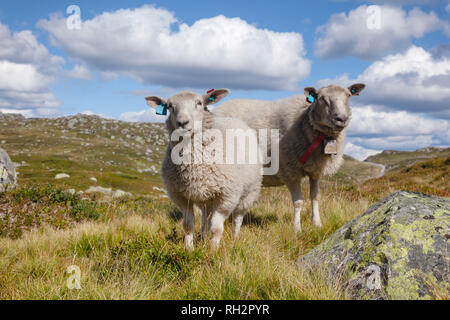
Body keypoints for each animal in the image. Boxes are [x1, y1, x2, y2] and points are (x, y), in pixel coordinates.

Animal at [146, 89, 262, 249]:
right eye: (169, 106)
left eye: (199, 103)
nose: (183, 122)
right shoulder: (181, 196)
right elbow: (188, 225)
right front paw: (189, 249)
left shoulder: (227, 196)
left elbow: (217, 228)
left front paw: (213, 250)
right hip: (205, 197)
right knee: (205, 219)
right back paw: (203, 238)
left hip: (249, 192)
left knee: (237, 218)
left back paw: (234, 239)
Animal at [214, 82, 366, 232]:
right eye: (321, 98)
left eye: (348, 95)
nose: (341, 119)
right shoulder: (290, 170)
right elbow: (298, 202)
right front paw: (297, 228)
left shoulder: (315, 171)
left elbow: (315, 197)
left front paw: (317, 223)